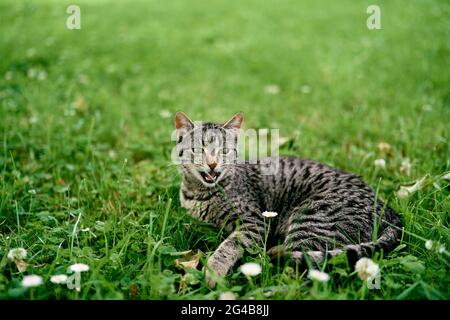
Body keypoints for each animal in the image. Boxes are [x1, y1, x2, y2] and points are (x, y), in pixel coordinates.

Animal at [174, 111, 402, 286]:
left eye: (225, 150)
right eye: (197, 149)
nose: (212, 164)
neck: (199, 193)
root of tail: (390, 212)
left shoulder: (254, 222)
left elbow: (228, 246)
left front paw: (213, 270)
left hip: (310, 219)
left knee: (302, 268)